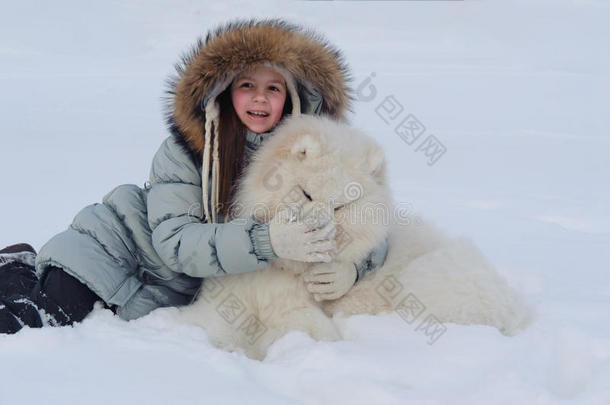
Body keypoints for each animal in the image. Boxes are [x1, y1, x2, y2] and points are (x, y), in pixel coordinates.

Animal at [179, 115, 528, 358]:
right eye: (306, 194)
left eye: (340, 206)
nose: (315, 228)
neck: (287, 271)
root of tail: (514, 310)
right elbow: (212, 320)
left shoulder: (301, 311)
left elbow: (297, 328)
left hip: (426, 279)